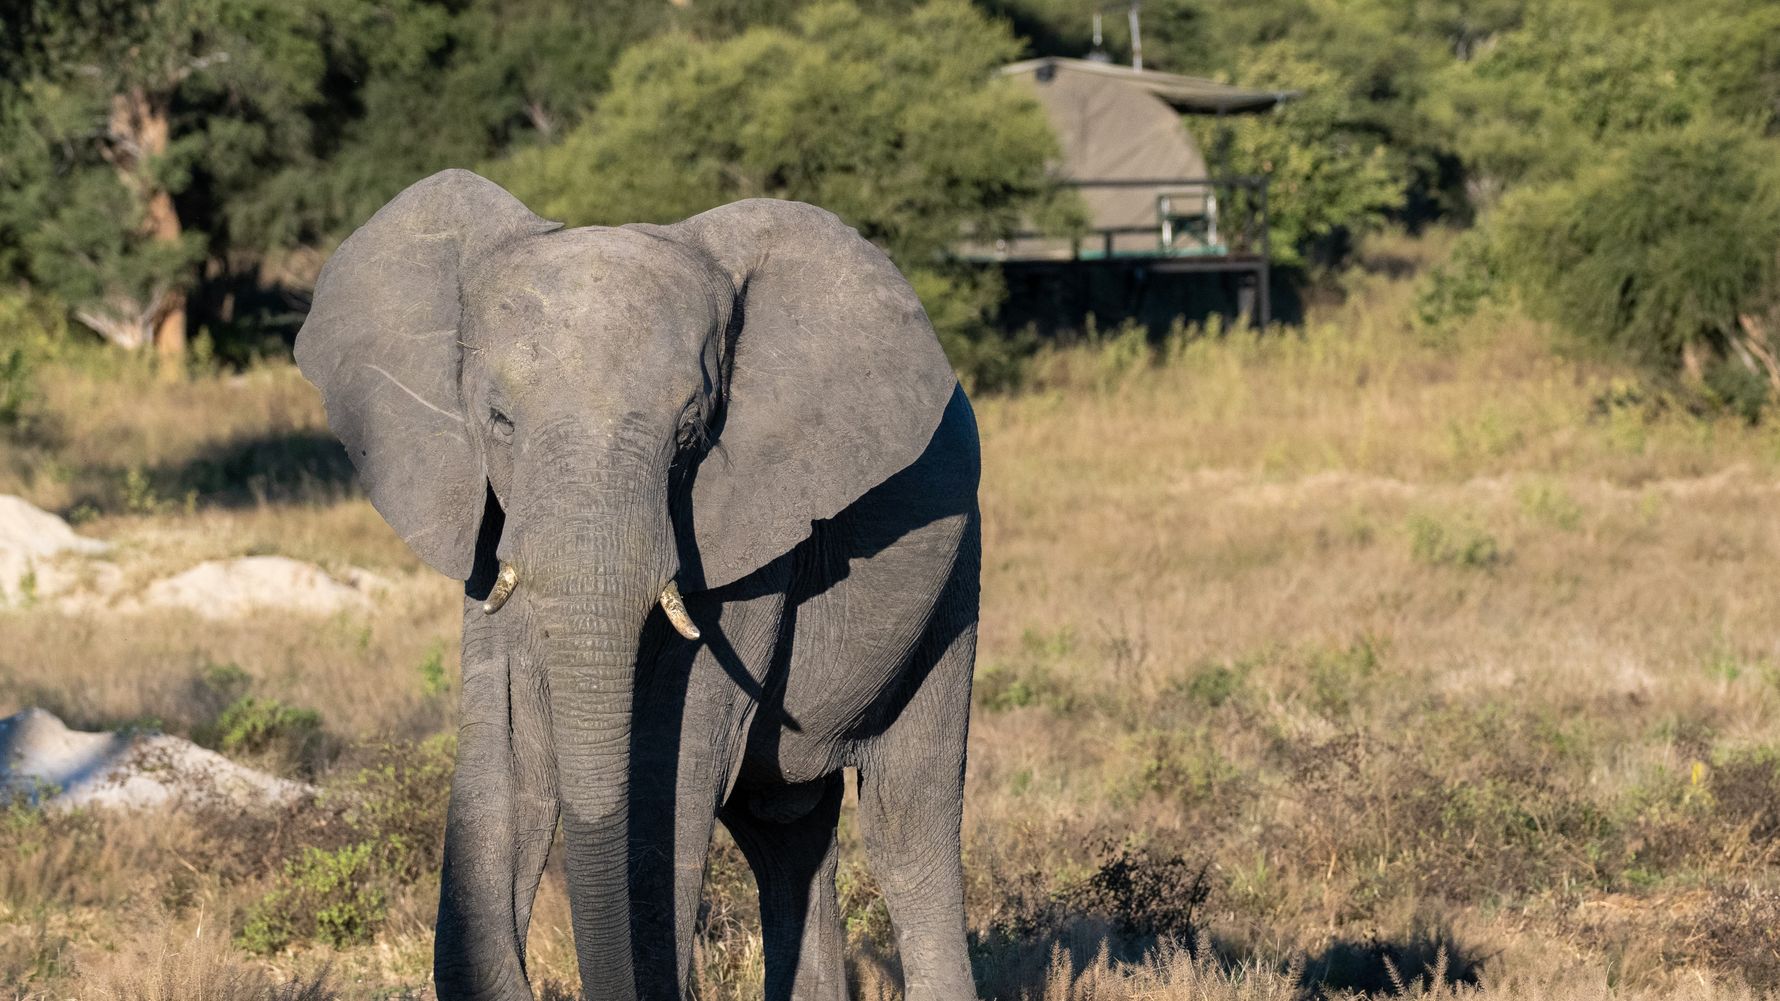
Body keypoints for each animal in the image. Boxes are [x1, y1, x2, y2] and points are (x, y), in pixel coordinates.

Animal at [294, 169, 980, 1001]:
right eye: (499, 420)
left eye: (690, 430)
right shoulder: (490, 524)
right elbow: (510, 763)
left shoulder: (748, 532)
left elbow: (669, 770)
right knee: (787, 833)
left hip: (953, 583)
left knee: (907, 820)